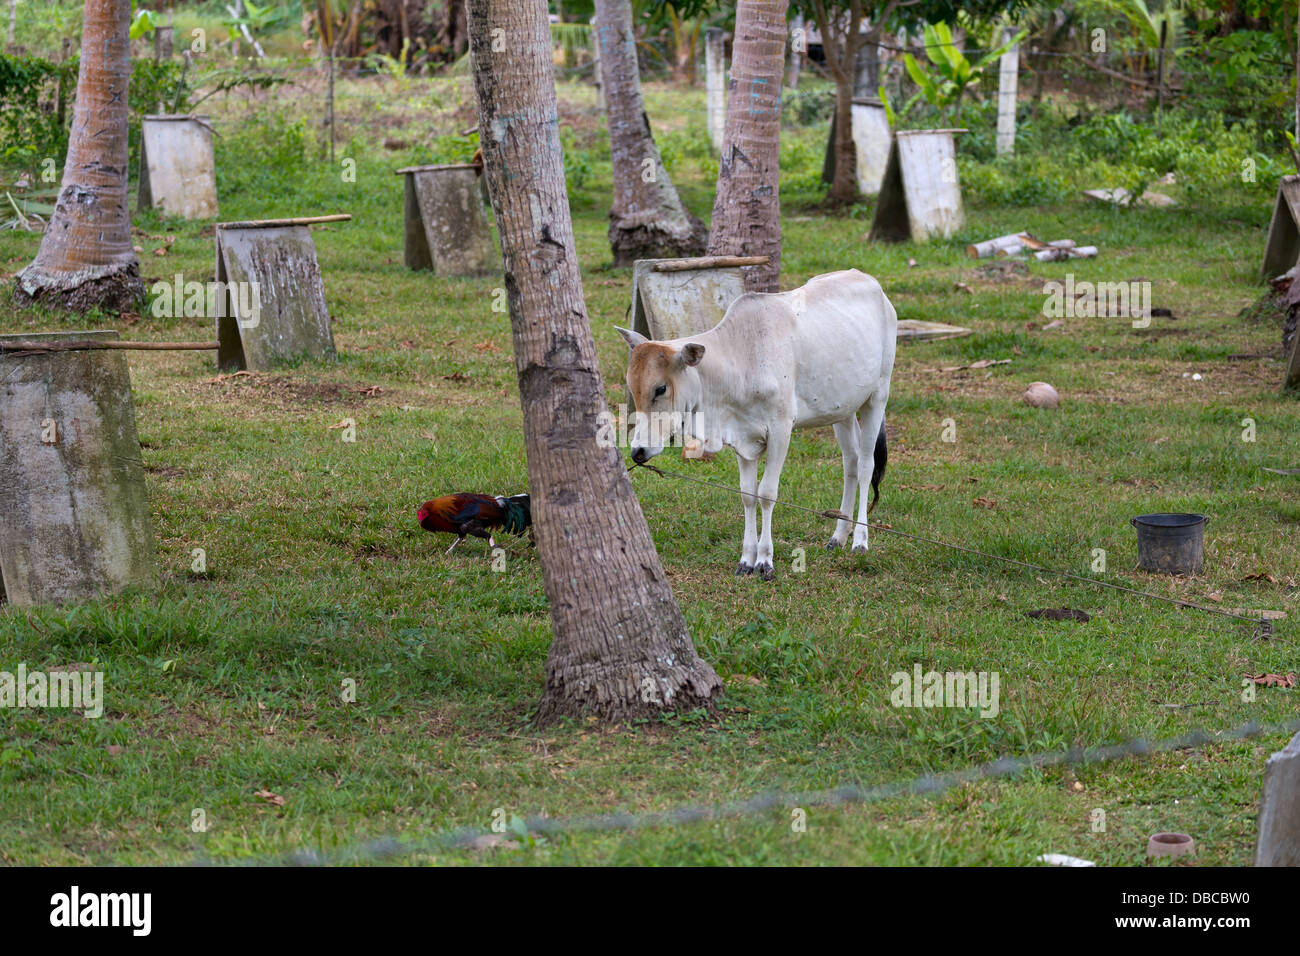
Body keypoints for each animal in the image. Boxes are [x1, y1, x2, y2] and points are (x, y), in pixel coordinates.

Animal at [616, 265, 894, 580]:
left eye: (661, 388)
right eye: (633, 388)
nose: (638, 451)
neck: (742, 360)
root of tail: (869, 281)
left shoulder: (781, 430)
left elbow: (767, 493)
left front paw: (765, 561)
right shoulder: (742, 438)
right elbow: (748, 495)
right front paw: (746, 560)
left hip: (877, 397)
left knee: (866, 466)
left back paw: (859, 540)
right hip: (842, 410)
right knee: (850, 462)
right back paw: (838, 536)